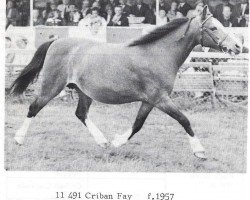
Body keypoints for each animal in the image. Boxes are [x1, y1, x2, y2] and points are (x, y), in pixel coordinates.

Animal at [9, 6, 242, 159]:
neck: (157, 54)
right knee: (34, 107)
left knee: (81, 114)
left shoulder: (149, 101)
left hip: (85, 92)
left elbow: (137, 125)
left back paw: (103, 141)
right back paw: (18, 139)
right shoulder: (160, 99)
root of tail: (56, 41)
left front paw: (116, 141)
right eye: (213, 28)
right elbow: (184, 120)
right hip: (51, 86)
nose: (238, 46)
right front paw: (200, 151)